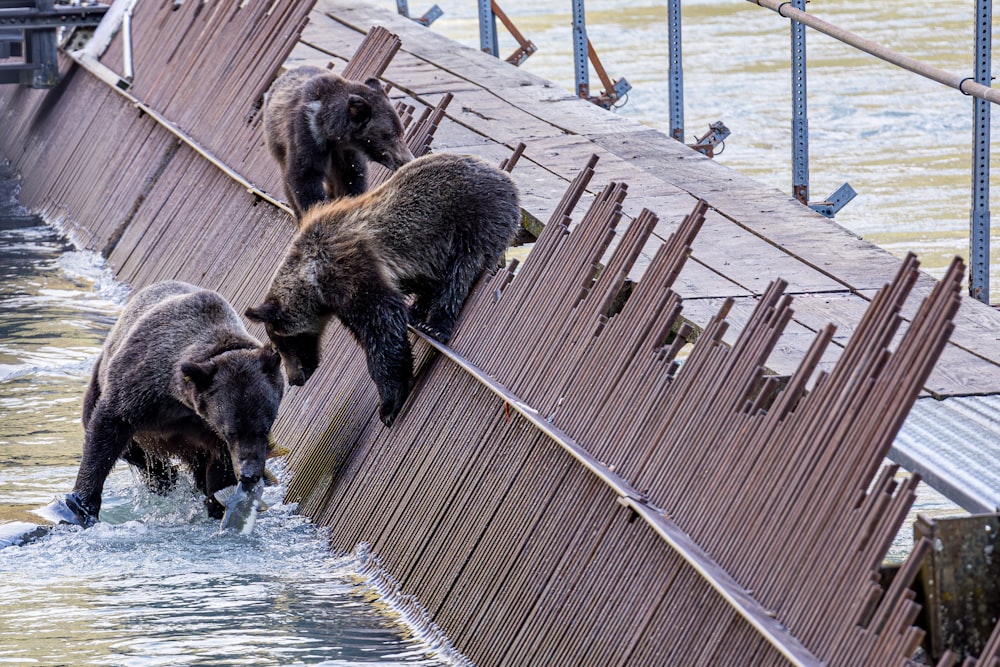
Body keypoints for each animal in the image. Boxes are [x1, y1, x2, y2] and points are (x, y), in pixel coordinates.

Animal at [61, 280, 286, 528]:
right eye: (232, 432)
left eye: (264, 429)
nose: (249, 474)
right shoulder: (141, 389)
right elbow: (107, 431)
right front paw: (82, 503)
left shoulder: (206, 429)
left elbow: (220, 467)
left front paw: (218, 504)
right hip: (99, 383)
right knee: (129, 449)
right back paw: (162, 480)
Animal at [248, 152, 524, 428]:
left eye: (282, 343)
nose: (295, 378)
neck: (315, 282)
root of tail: (506, 178)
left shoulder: (354, 272)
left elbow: (383, 331)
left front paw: (389, 404)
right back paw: (418, 311)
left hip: (474, 216)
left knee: (462, 270)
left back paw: (435, 324)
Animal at [262, 65, 414, 218]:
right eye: (391, 135)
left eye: (402, 132)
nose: (408, 160)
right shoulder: (307, 134)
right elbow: (305, 176)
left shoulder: (347, 151)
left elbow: (351, 177)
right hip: (277, 140)